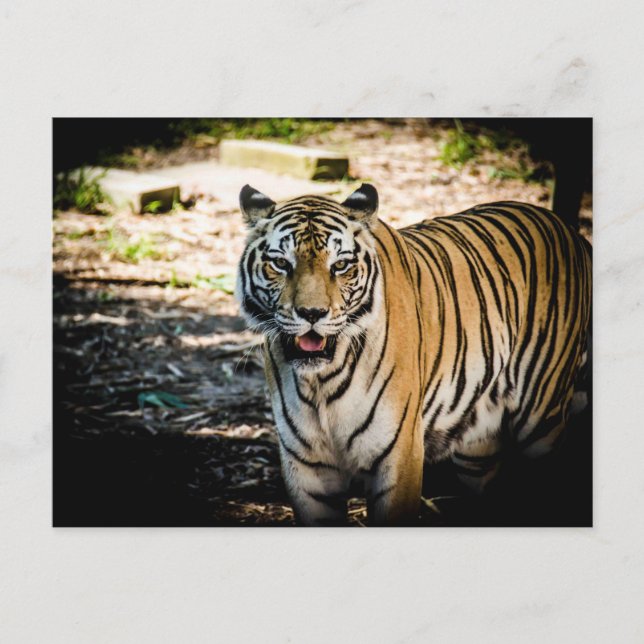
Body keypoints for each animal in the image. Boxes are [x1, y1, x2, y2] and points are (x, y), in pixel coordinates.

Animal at [236, 183, 592, 526]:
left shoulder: (399, 457)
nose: (312, 313)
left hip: (541, 422)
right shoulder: (307, 469)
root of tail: (567, 228)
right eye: (281, 264)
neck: (321, 382)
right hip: (479, 446)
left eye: (340, 266)